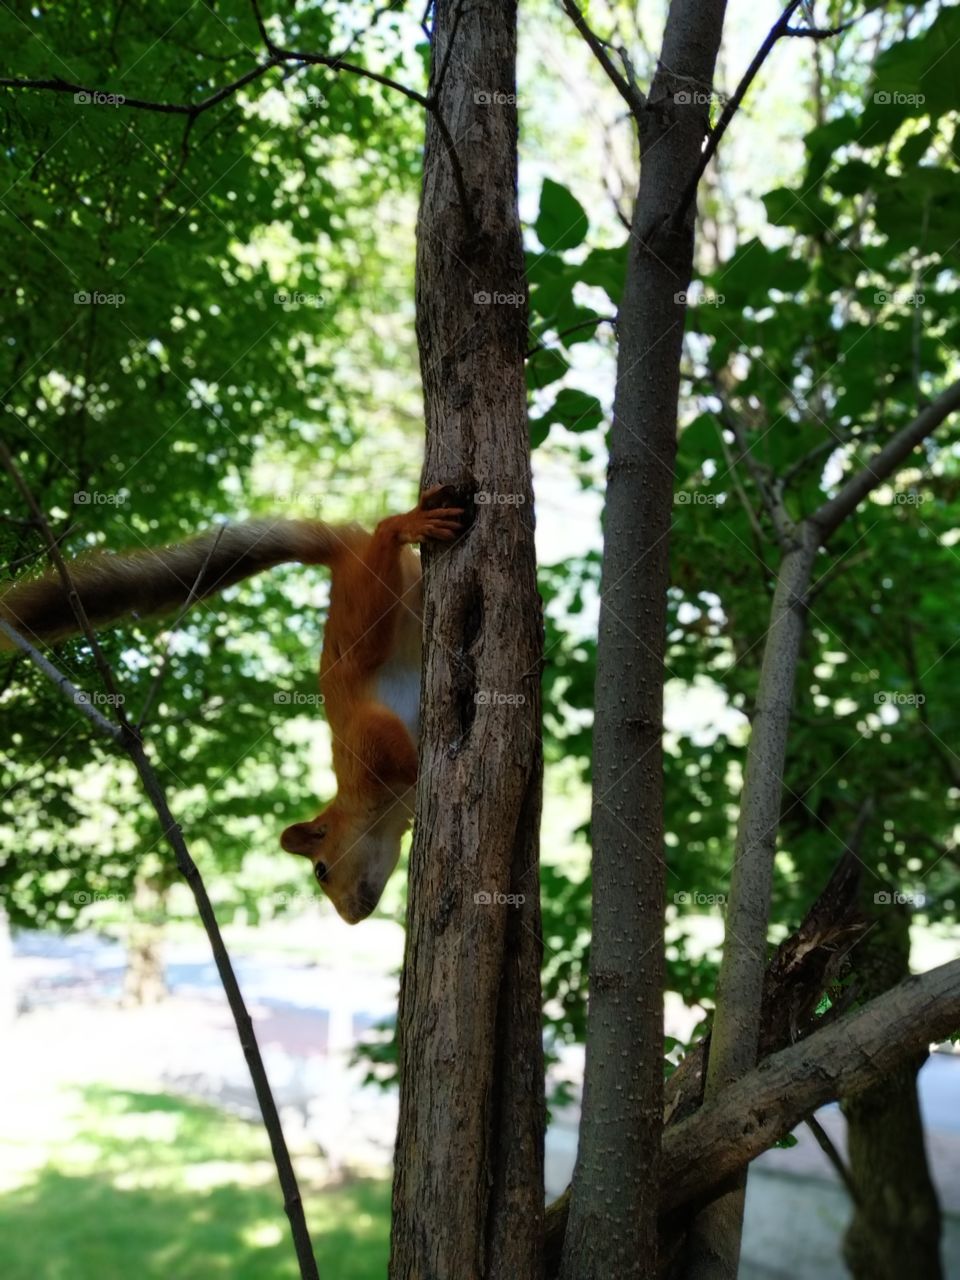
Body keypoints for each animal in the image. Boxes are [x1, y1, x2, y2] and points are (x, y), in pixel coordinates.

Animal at [0, 487, 465, 923]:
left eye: (321, 870)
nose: (350, 918)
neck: (369, 803)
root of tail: (340, 551)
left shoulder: (366, 739)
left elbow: (394, 747)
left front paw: (420, 767)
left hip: (367, 607)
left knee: (384, 532)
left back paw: (406, 523)